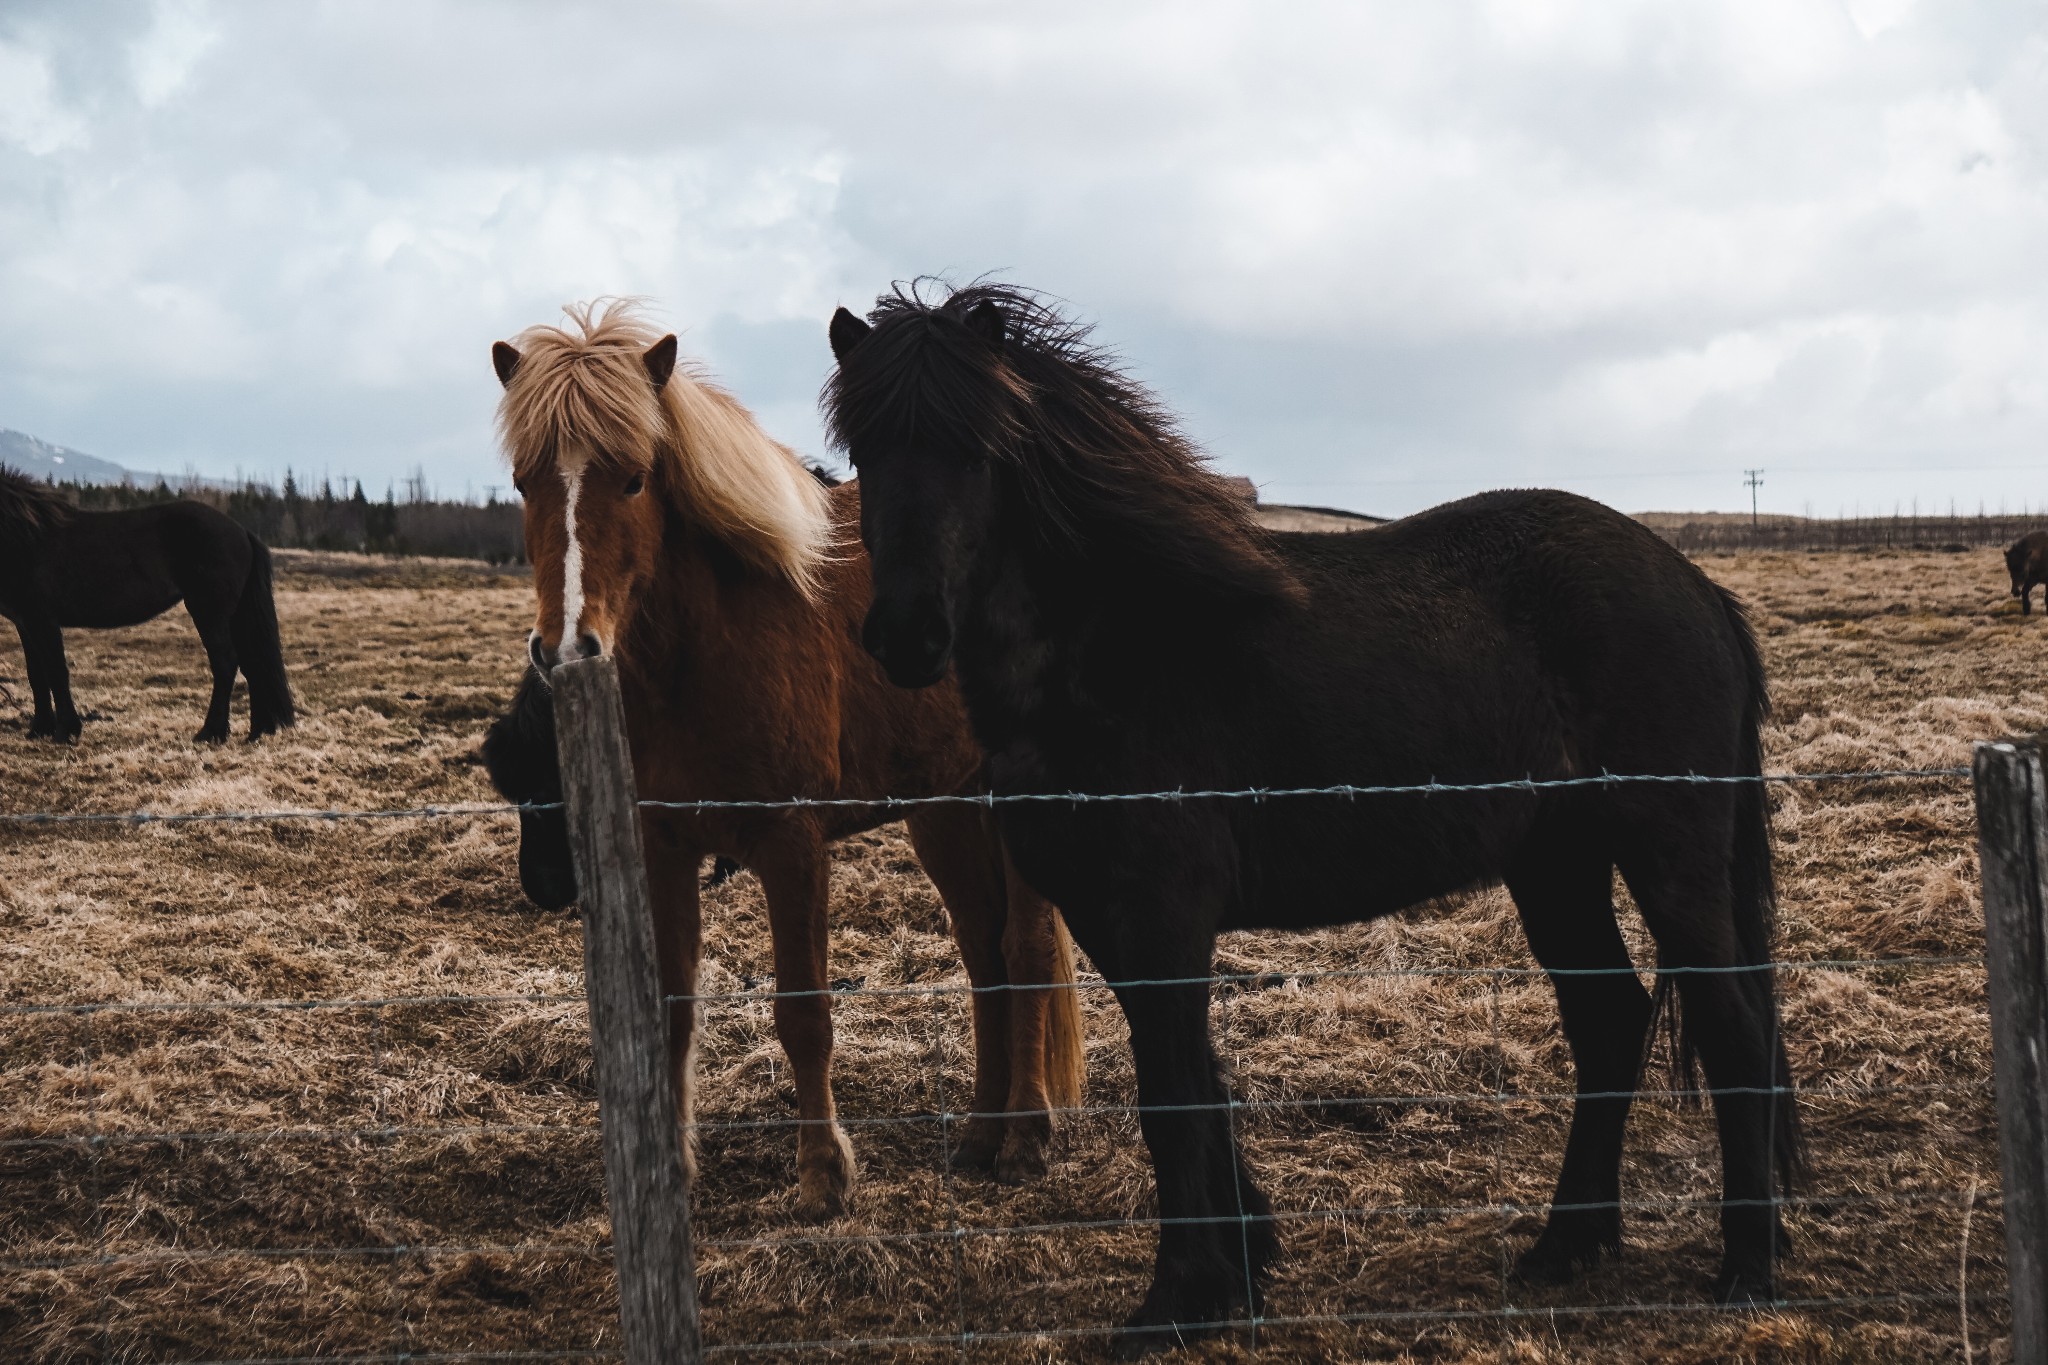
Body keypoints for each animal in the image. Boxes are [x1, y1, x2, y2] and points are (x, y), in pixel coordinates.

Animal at [0, 470, 296, 749]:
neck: (25, 538)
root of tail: (241, 531)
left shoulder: (43, 620)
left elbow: (56, 672)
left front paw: (66, 731)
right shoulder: (25, 623)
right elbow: (36, 674)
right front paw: (39, 729)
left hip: (209, 613)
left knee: (225, 662)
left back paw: (210, 733)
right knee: (250, 662)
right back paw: (256, 731)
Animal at [491, 300, 1089, 1219]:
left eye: (633, 479)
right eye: (525, 483)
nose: (566, 646)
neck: (708, 648)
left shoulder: (792, 846)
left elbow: (804, 1012)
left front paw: (821, 1176)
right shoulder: (662, 847)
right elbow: (671, 1008)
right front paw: (673, 1172)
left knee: (1022, 949)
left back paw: (1025, 1136)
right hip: (945, 810)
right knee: (983, 953)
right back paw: (980, 1137)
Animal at [823, 282, 1802, 1350]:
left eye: (979, 452)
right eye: (864, 453)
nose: (906, 636)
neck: (1117, 652)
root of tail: (1694, 585)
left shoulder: (1163, 918)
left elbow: (1172, 1096)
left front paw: (1175, 1301)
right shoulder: (1112, 918)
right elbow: (1199, 1085)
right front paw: (1238, 1271)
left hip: (1668, 852)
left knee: (1734, 1025)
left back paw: (1746, 1265)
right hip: (1557, 861)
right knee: (1611, 1021)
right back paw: (1566, 1243)